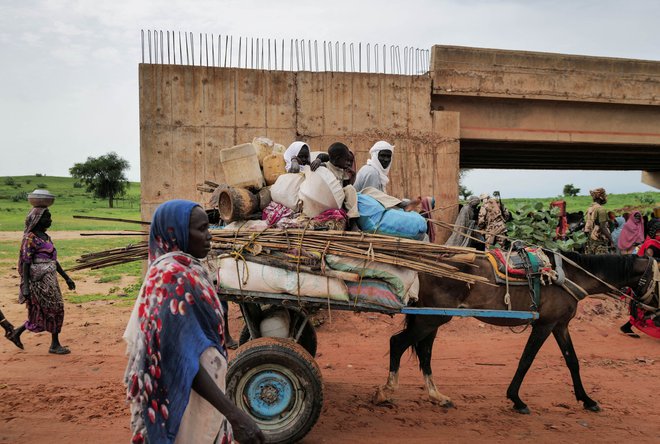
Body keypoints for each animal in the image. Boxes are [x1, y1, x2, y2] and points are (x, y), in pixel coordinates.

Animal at [374, 251, 656, 414]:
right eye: (659, 281)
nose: (654, 313)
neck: (569, 275)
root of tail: (421, 267)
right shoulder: (544, 325)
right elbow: (526, 360)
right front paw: (516, 400)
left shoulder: (560, 325)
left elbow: (573, 362)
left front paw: (586, 400)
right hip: (428, 320)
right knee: (397, 343)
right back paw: (385, 392)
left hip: (432, 319)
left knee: (424, 352)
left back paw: (437, 397)